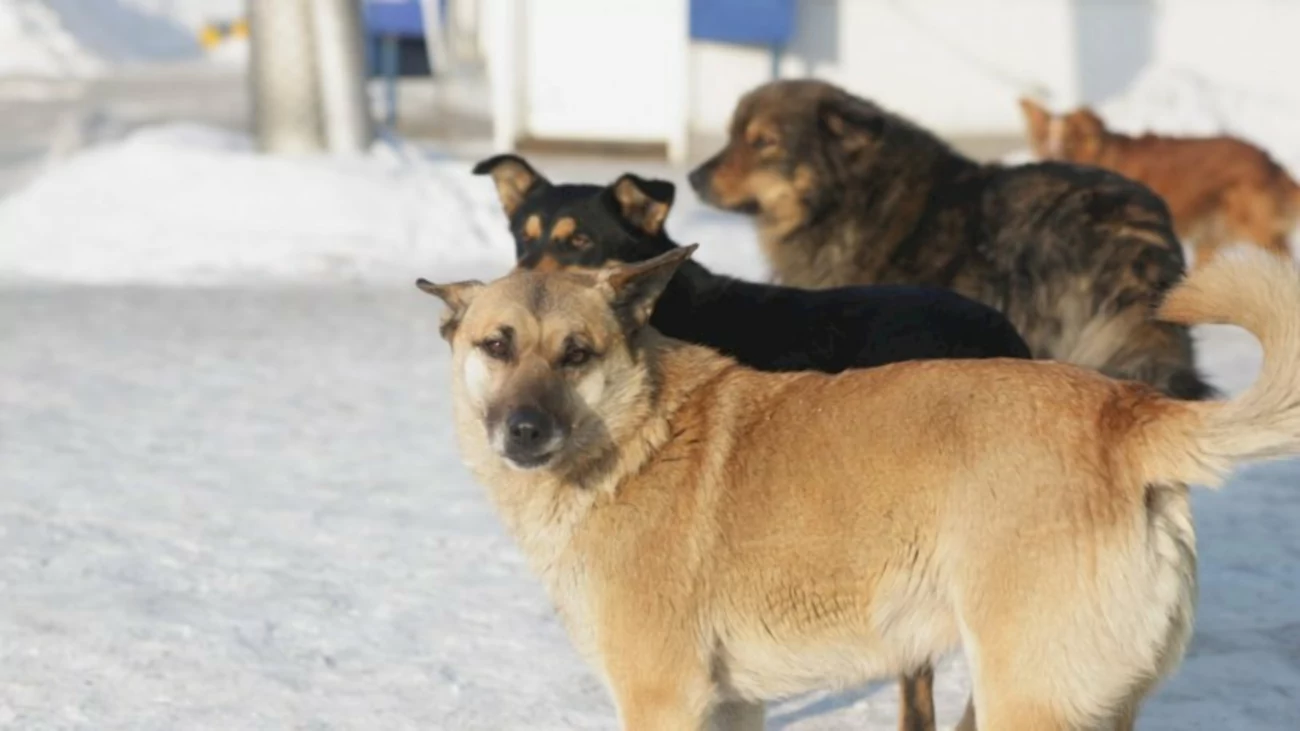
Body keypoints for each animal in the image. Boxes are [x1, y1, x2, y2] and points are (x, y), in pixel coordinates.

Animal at [416, 244, 1300, 728]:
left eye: (576, 353)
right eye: (496, 344)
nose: (523, 430)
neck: (634, 440)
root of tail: (1125, 411)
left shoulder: (663, 697)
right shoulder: (733, 705)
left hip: (1027, 699)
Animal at [1019, 96, 1294, 266]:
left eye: (1068, 142)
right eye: (1042, 140)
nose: (1048, 158)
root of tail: (1269, 161)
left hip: (1255, 229)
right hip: (1210, 236)